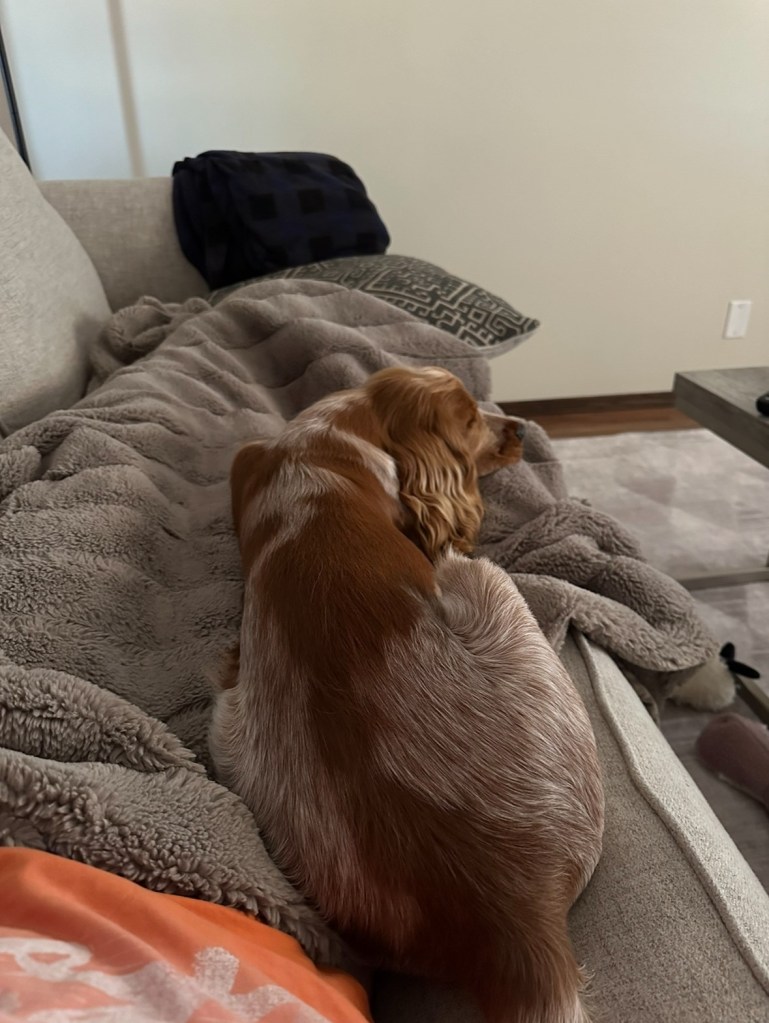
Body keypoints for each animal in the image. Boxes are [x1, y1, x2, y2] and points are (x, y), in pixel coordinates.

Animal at [210, 366, 604, 1022]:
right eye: (469, 422)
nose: (520, 429)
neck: (339, 429)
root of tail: (517, 919)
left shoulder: (247, 457)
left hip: (227, 734)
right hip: (490, 588)